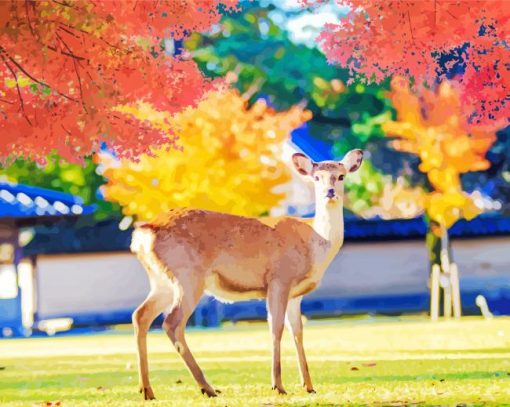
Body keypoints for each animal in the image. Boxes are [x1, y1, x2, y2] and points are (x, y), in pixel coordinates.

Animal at [130, 148, 362, 400]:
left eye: (341, 176)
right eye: (316, 177)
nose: (330, 192)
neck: (315, 243)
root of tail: (143, 234)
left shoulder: (296, 294)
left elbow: (297, 331)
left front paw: (309, 385)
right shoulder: (279, 279)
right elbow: (276, 328)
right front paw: (278, 385)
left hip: (162, 281)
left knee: (140, 315)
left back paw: (147, 389)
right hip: (188, 275)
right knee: (172, 322)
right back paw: (207, 387)